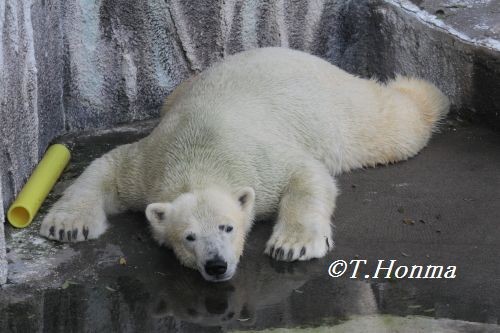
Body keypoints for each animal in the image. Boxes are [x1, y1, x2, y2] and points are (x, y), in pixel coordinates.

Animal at [41, 46, 452, 280]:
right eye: (189, 236)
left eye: (228, 228)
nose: (216, 265)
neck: (199, 158)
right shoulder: (151, 164)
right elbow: (105, 167)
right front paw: (67, 226)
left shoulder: (258, 160)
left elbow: (305, 174)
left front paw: (292, 245)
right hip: (182, 88)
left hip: (339, 109)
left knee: (391, 126)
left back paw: (426, 93)